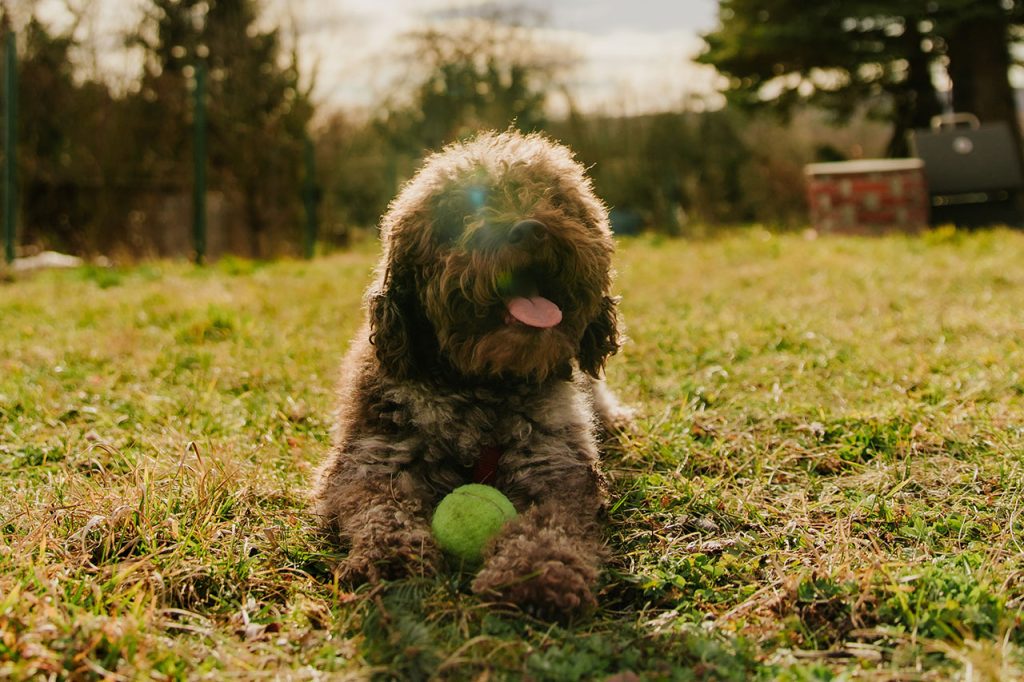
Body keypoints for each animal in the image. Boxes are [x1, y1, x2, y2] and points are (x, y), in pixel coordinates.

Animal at [311, 129, 630, 614]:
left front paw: (538, 571)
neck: (482, 386)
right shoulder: (371, 461)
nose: (530, 229)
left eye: (555, 200)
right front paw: (390, 556)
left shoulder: (556, 466)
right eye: (462, 214)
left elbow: (552, 523)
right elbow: (381, 511)